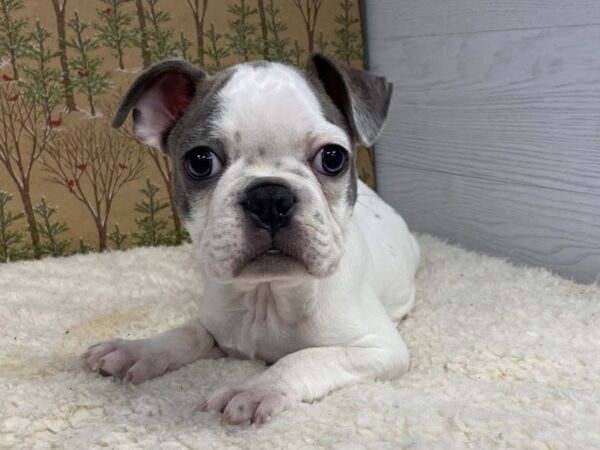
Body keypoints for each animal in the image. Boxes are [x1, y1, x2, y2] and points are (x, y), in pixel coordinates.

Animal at [83, 53, 422, 426]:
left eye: (333, 157)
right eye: (200, 162)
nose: (269, 198)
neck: (268, 293)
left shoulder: (379, 348)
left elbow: (303, 358)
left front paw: (256, 389)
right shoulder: (217, 326)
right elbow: (186, 333)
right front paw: (137, 349)